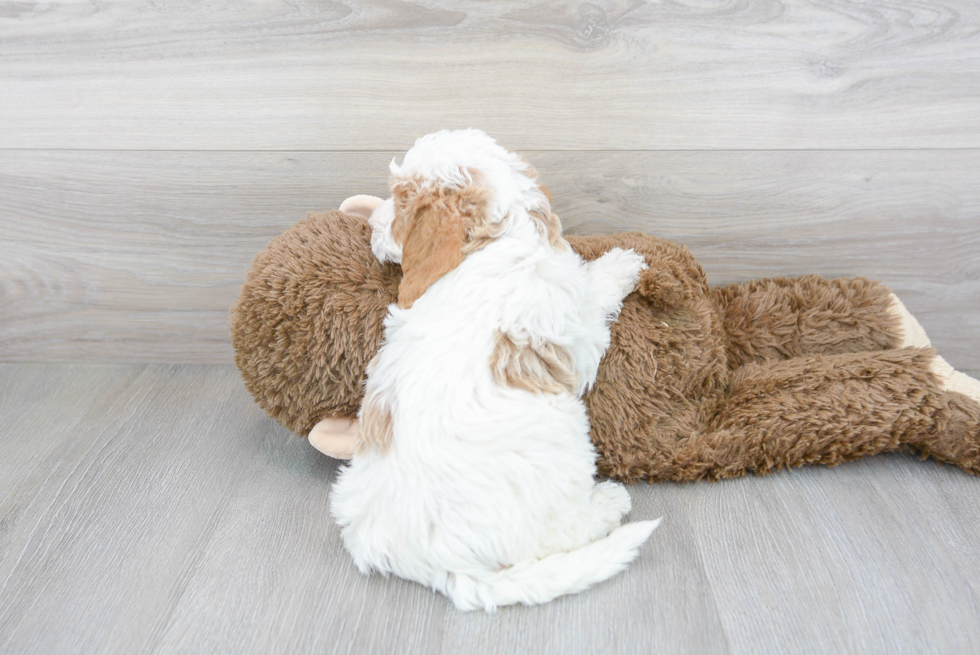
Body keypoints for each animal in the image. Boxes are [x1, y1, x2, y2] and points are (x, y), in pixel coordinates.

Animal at [330, 131, 660, 612]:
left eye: (399, 203)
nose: (371, 224)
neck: (501, 238)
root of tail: (438, 565)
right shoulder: (577, 324)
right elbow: (593, 291)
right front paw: (621, 263)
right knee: (564, 535)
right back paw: (609, 503)